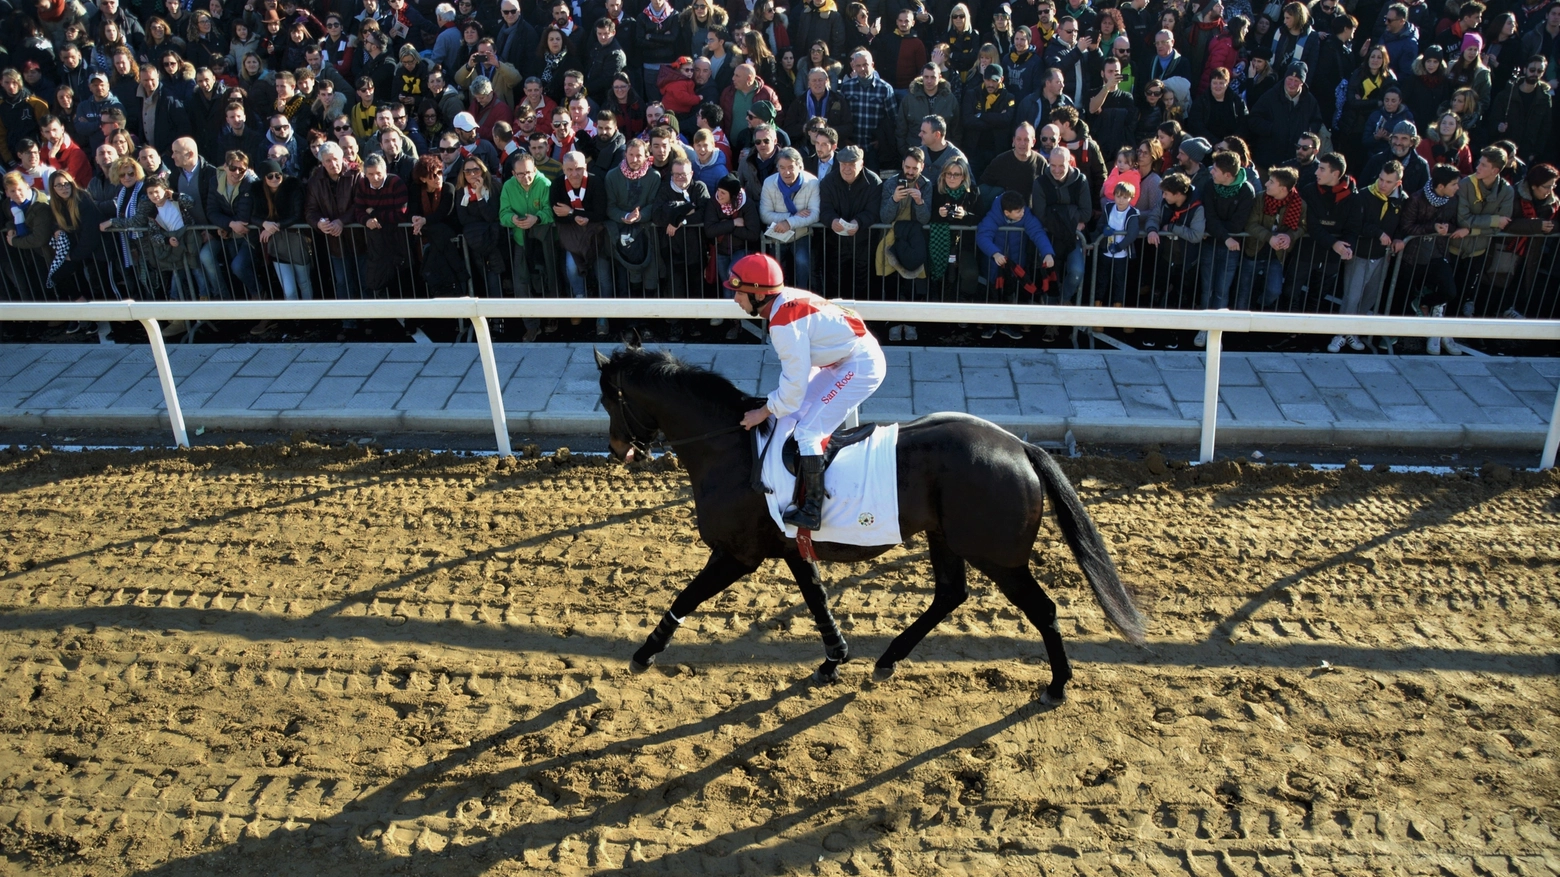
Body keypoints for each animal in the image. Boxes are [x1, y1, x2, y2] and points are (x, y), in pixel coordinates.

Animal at [595, 344, 1148, 699]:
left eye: (607, 399)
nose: (620, 450)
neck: (729, 448)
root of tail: (1020, 447)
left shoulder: (738, 553)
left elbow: (688, 596)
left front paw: (645, 652)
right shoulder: (791, 547)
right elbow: (817, 598)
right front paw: (834, 658)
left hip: (998, 556)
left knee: (1043, 609)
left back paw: (1056, 685)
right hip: (946, 537)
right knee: (950, 594)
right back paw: (888, 658)